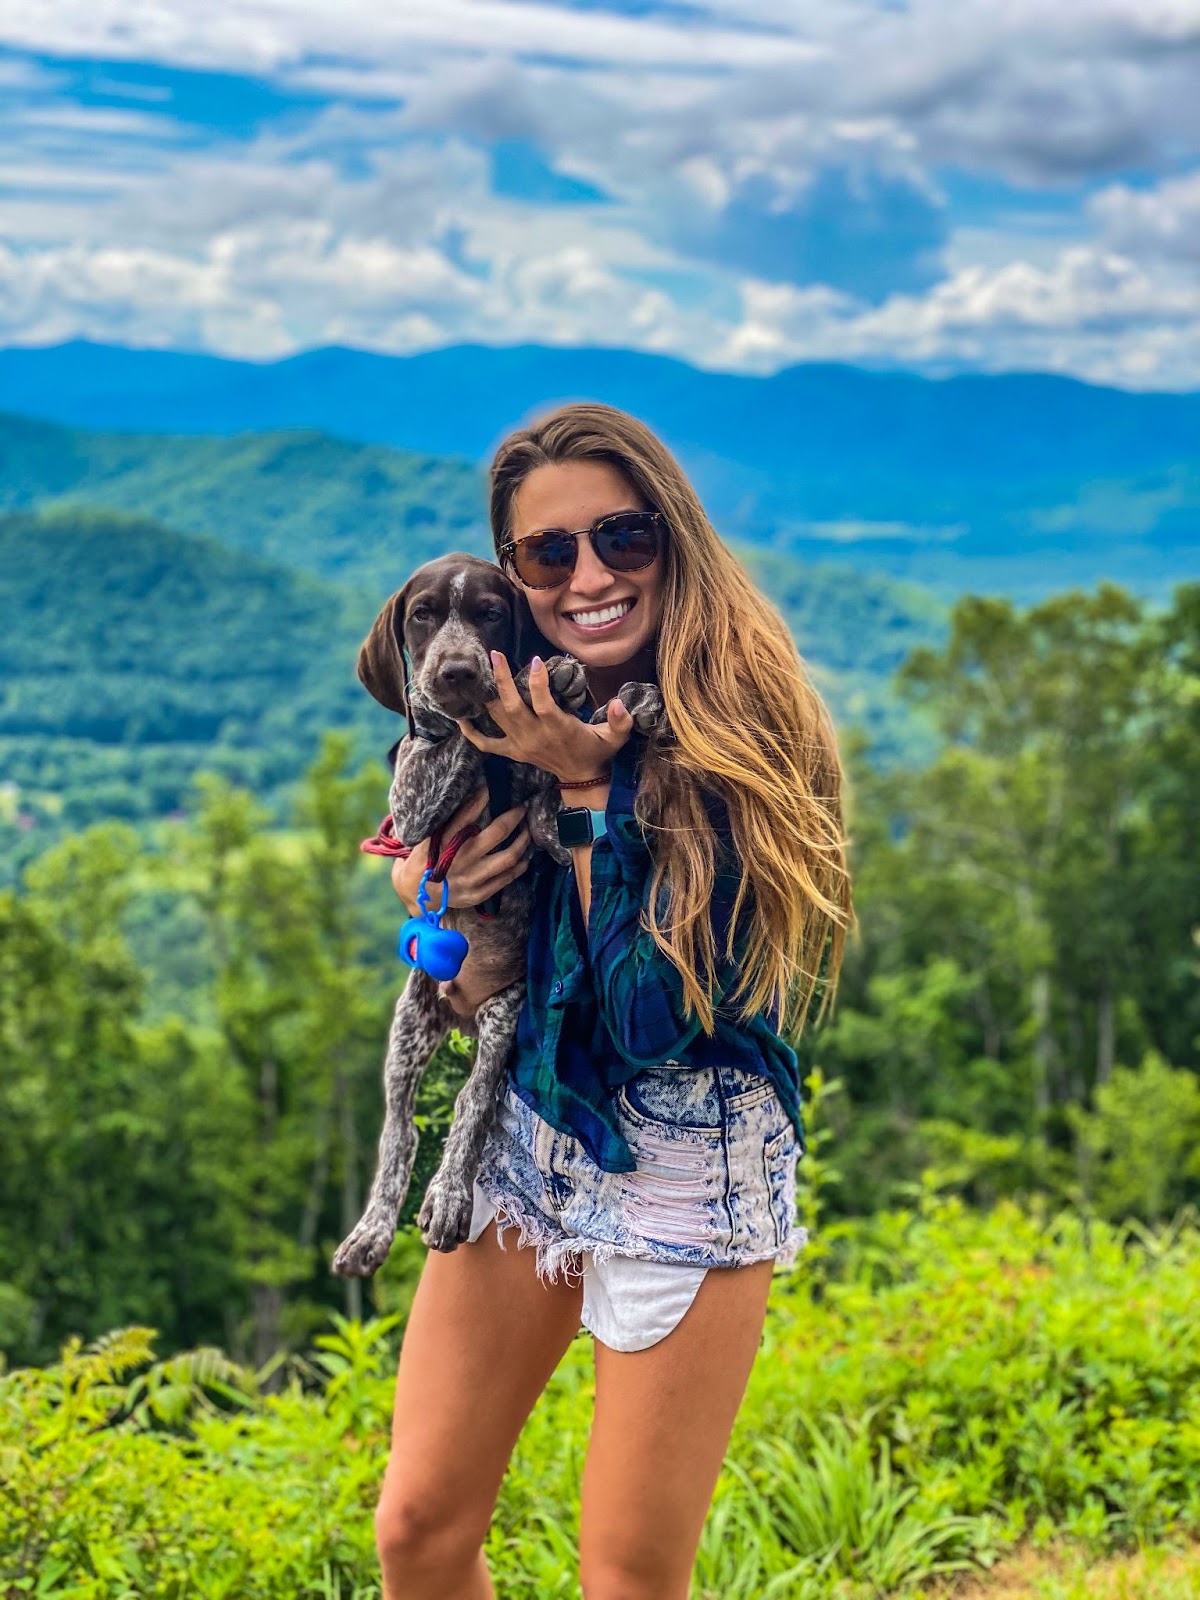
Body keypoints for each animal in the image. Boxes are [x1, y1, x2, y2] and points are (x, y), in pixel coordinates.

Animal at [334, 553, 662, 1273]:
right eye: (422, 615)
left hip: (503, 1013)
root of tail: (457, 1010)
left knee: (473, 1098)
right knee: (399, 1133)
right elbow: (450, 737)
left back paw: (447, 1193)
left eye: (489, 613)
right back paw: (380, 1227)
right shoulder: (411, 807)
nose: (456, 671)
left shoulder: (547, 822)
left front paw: (607, 697)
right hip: (409, 1025)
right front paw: (493, 702)